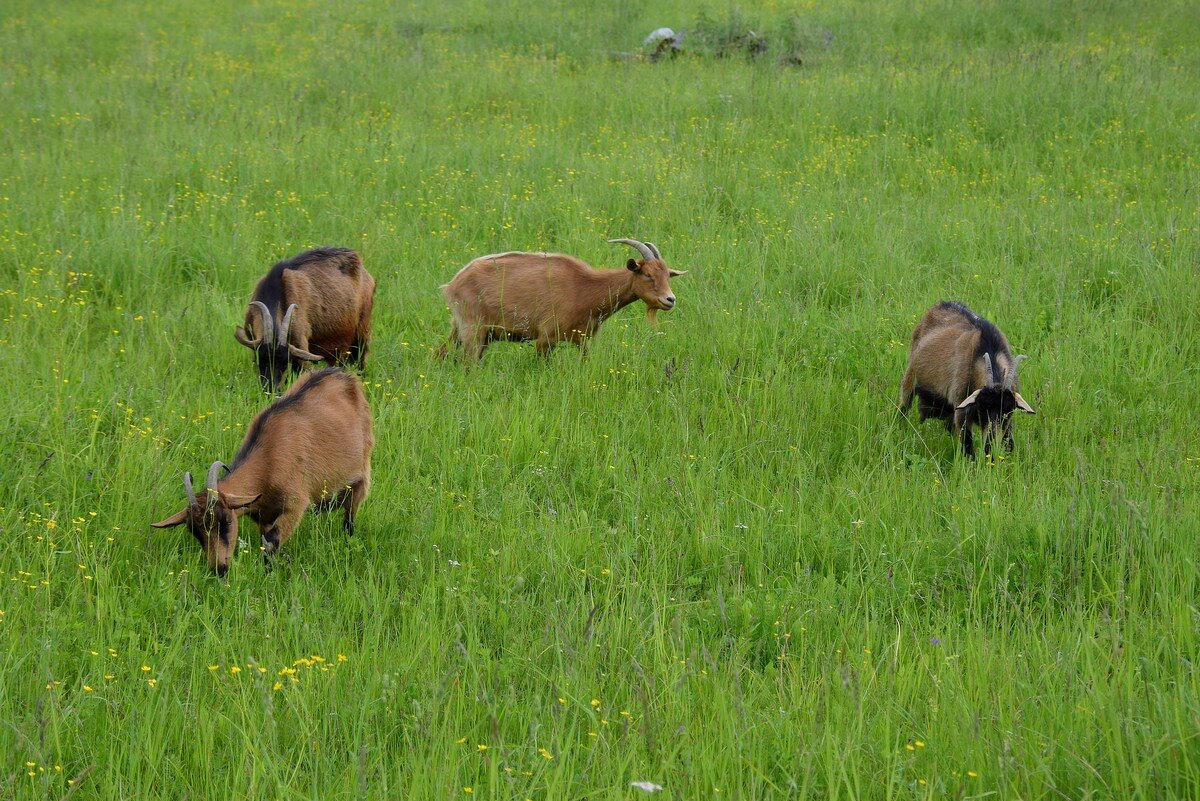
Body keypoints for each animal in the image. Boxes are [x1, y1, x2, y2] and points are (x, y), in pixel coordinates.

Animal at [152, 369, 372, 575]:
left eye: (226, 521)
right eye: (195, 532)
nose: (219, 569)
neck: (268, 461)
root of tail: (343, 375)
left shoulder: (295, 504)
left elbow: (272, 543)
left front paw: (269, 575)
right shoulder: (264, 516)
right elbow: (265, 542)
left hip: (361, 474)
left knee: (350, 517)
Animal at [234, 247, 374, 390]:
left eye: (284, 362)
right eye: (260, 359)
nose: (271, 390)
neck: (274, 292)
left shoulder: (299, 345)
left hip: (362, 332)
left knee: (361, 360)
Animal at [439, 237, 686, 359]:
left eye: (667, 275)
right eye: (647, 274)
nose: (670, 300)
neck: (585, 287)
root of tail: (453, 283)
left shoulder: (582, 339)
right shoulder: (545, 338)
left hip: (462, 329)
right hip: (473, 330)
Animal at [897, 299, 1036, 460]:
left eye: (1007, 410)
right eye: (982, 408)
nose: (991, 442)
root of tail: (940, 304)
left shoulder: (1008, 419)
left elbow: (1009, 443)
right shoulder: (961, 408)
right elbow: (968, 446)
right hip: (910, 377)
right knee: (904, 406)